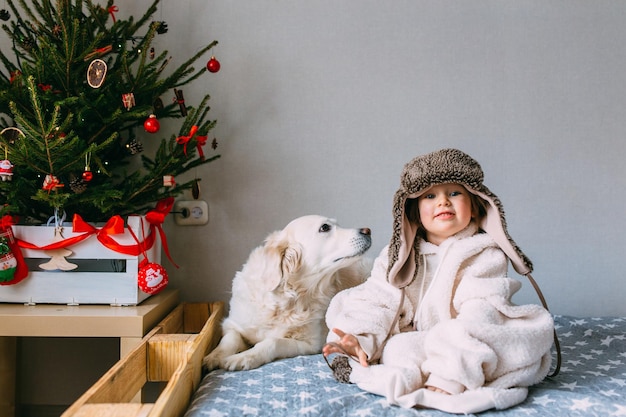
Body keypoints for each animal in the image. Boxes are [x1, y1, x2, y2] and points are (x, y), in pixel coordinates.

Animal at [204, 214, 370, 370]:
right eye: (325, 227)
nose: (367, 231)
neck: (286, 299)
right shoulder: (231, 324)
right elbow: (230, 339)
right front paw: (214, 357)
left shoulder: (311, 344)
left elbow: (273, 342)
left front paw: (245, 357)